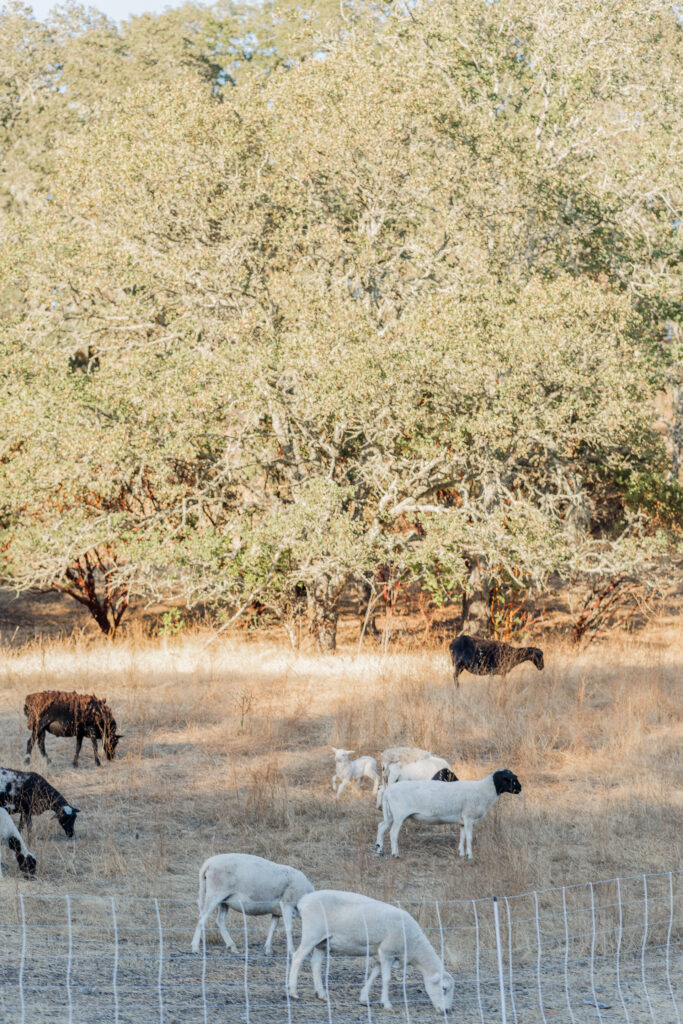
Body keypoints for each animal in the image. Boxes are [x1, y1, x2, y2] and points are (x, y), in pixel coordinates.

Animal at [288, 889, 454, 1012]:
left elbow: (374, 975)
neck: (413, 944)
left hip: (323, 942)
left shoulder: (380, 954)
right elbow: (386, 978)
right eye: (444, 988)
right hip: (312, 933)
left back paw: (321, 995)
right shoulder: (387, 952)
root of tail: (304, 900)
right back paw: (293, 992)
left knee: (315, 963)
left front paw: (363, 997)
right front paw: (386, 1004)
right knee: (297, 957)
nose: (447, 1011)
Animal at [376, 769, 522, 859]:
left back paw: (380, 850)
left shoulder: (463, 820)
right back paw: (395, 854)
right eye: (511, 779)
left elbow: (462, 837)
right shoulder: (468, 817)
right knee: (393, 833)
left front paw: (462, 854)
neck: (484, 791)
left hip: (390, 814)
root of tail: (387, 792)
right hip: (399, 815)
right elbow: (469, 838)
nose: (520, 789)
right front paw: (470, 856)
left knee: (381, 827)